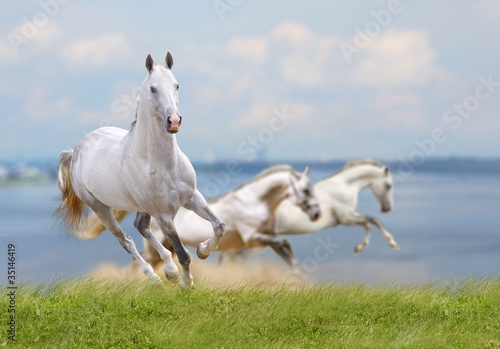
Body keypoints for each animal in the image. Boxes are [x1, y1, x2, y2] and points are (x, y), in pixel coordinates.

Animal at [53, 51, 224, 286]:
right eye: (152, 88)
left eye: (177, 85)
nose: (174, 121)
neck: (165, 165)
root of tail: (76, 150)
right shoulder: (164, 216)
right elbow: (183, 254)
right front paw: (186, 284)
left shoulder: (192, 198)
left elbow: (219, 225)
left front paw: (203, 250)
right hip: (101, 208)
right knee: (126, 240)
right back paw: (155, 278)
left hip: (142, 206)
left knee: (140, 225)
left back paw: (170, 271)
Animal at [78, 164, 320, 272]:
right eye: (306, 190)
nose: (317, 214)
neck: (255, 201)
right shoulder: (253, 238)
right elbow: (284, 242)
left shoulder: (266, 237)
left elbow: (286, 248)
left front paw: (298, 277)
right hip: (155, 245)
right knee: (139, 261)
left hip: (167, 246)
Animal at [223, 159, 398, 268]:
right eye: (388, 185)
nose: (387, 208)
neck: (344, 186)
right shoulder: (346, 217)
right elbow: (373, 221)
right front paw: (391, 242)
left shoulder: (347, 218)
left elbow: (368, 223)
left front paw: (358, 247)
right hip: (258, 243)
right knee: (234, 258)